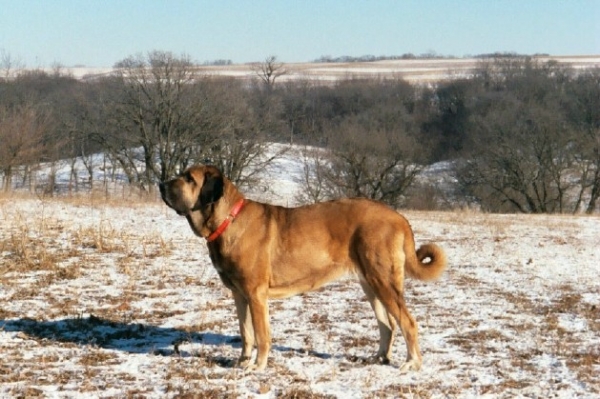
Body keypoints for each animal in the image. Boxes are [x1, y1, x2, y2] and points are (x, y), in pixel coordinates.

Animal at [159, 165, 446, 372]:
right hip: (370, 284)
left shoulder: (255, 294)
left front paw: (257, 366)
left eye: (189, 179)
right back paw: (378, 358)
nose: (161, 184)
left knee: (407, 322)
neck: (228, 220)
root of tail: (399, 217)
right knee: (387, 324)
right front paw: (242, 362)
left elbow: (261, 334)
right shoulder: (239, 295)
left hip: (383, 281)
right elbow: (245, 332)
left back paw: (411, 363)